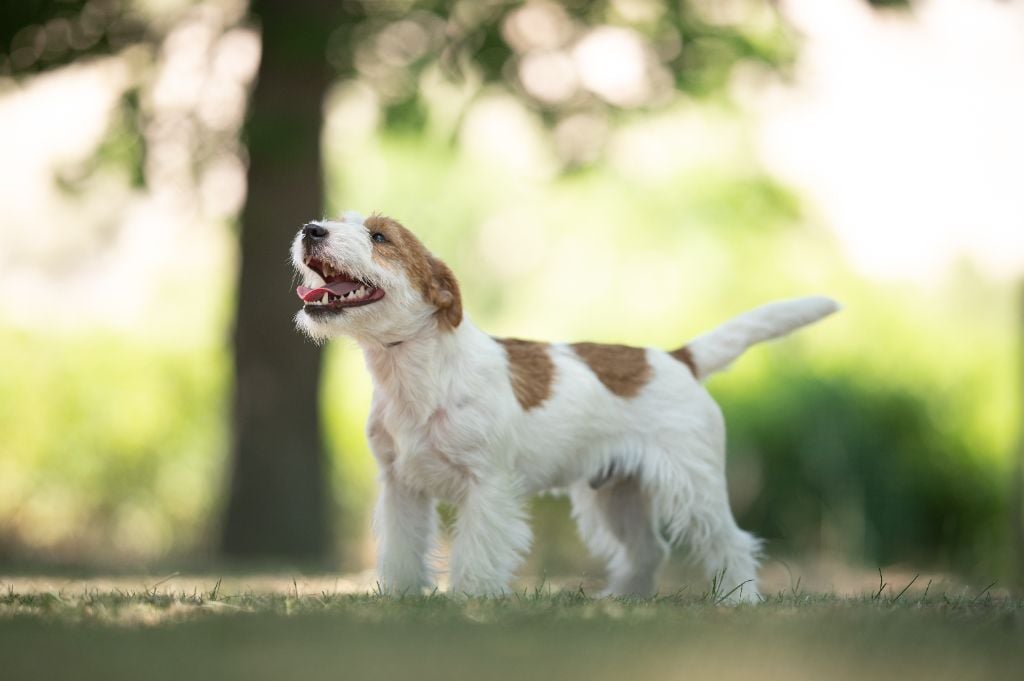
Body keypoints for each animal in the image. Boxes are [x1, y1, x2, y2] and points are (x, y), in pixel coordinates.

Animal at [290, 213, 839, 602]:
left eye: (379, 236)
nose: (310, 229)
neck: (414, 374)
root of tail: (678, 357)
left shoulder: (487, 488)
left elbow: (476, 552)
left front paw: (469, 601)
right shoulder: (401, 487)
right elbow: (403, 549)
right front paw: (401, 599)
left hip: (694, 487)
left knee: (731, 541)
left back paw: (739, 601)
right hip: (618, 494)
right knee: (648, 549)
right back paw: (623, 601)